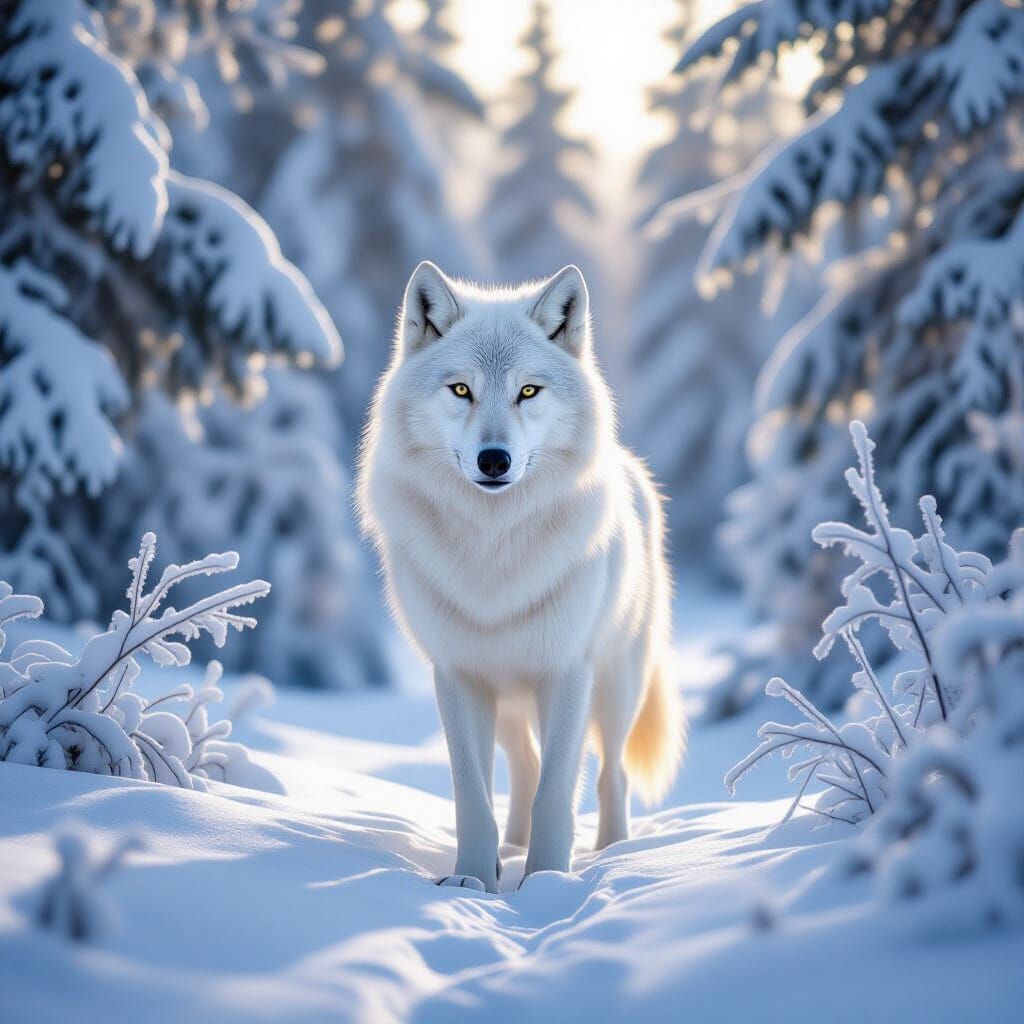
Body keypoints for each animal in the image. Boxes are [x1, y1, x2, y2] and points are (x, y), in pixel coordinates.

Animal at [357, 262, 684, 892]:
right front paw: (472, 880)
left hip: (616, 686)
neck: (494, 550)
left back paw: (614, 851)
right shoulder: (458, 677)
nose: (494, 460)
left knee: (610, 775)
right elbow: (473, 797)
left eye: (528, 391)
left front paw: (548, 880)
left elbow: (557, 793)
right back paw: (511, 847)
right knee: (525, 765)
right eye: (462, 390)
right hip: (508, 701)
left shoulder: (567, 673)